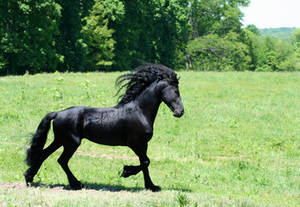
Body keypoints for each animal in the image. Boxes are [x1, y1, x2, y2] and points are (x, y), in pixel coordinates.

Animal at [23, 63, 184, 192]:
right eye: (176, 91)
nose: (180, 112)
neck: (139, 111)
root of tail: (57, 113)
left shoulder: (143, 144)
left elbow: (145, 163)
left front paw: (151, 186)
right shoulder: (135, 143)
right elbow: (145, 162)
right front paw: (126, 172)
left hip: (60, 140)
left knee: (43, 154)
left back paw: (28, 177)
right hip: (71, 142)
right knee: (61, 160)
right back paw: (76, 184)